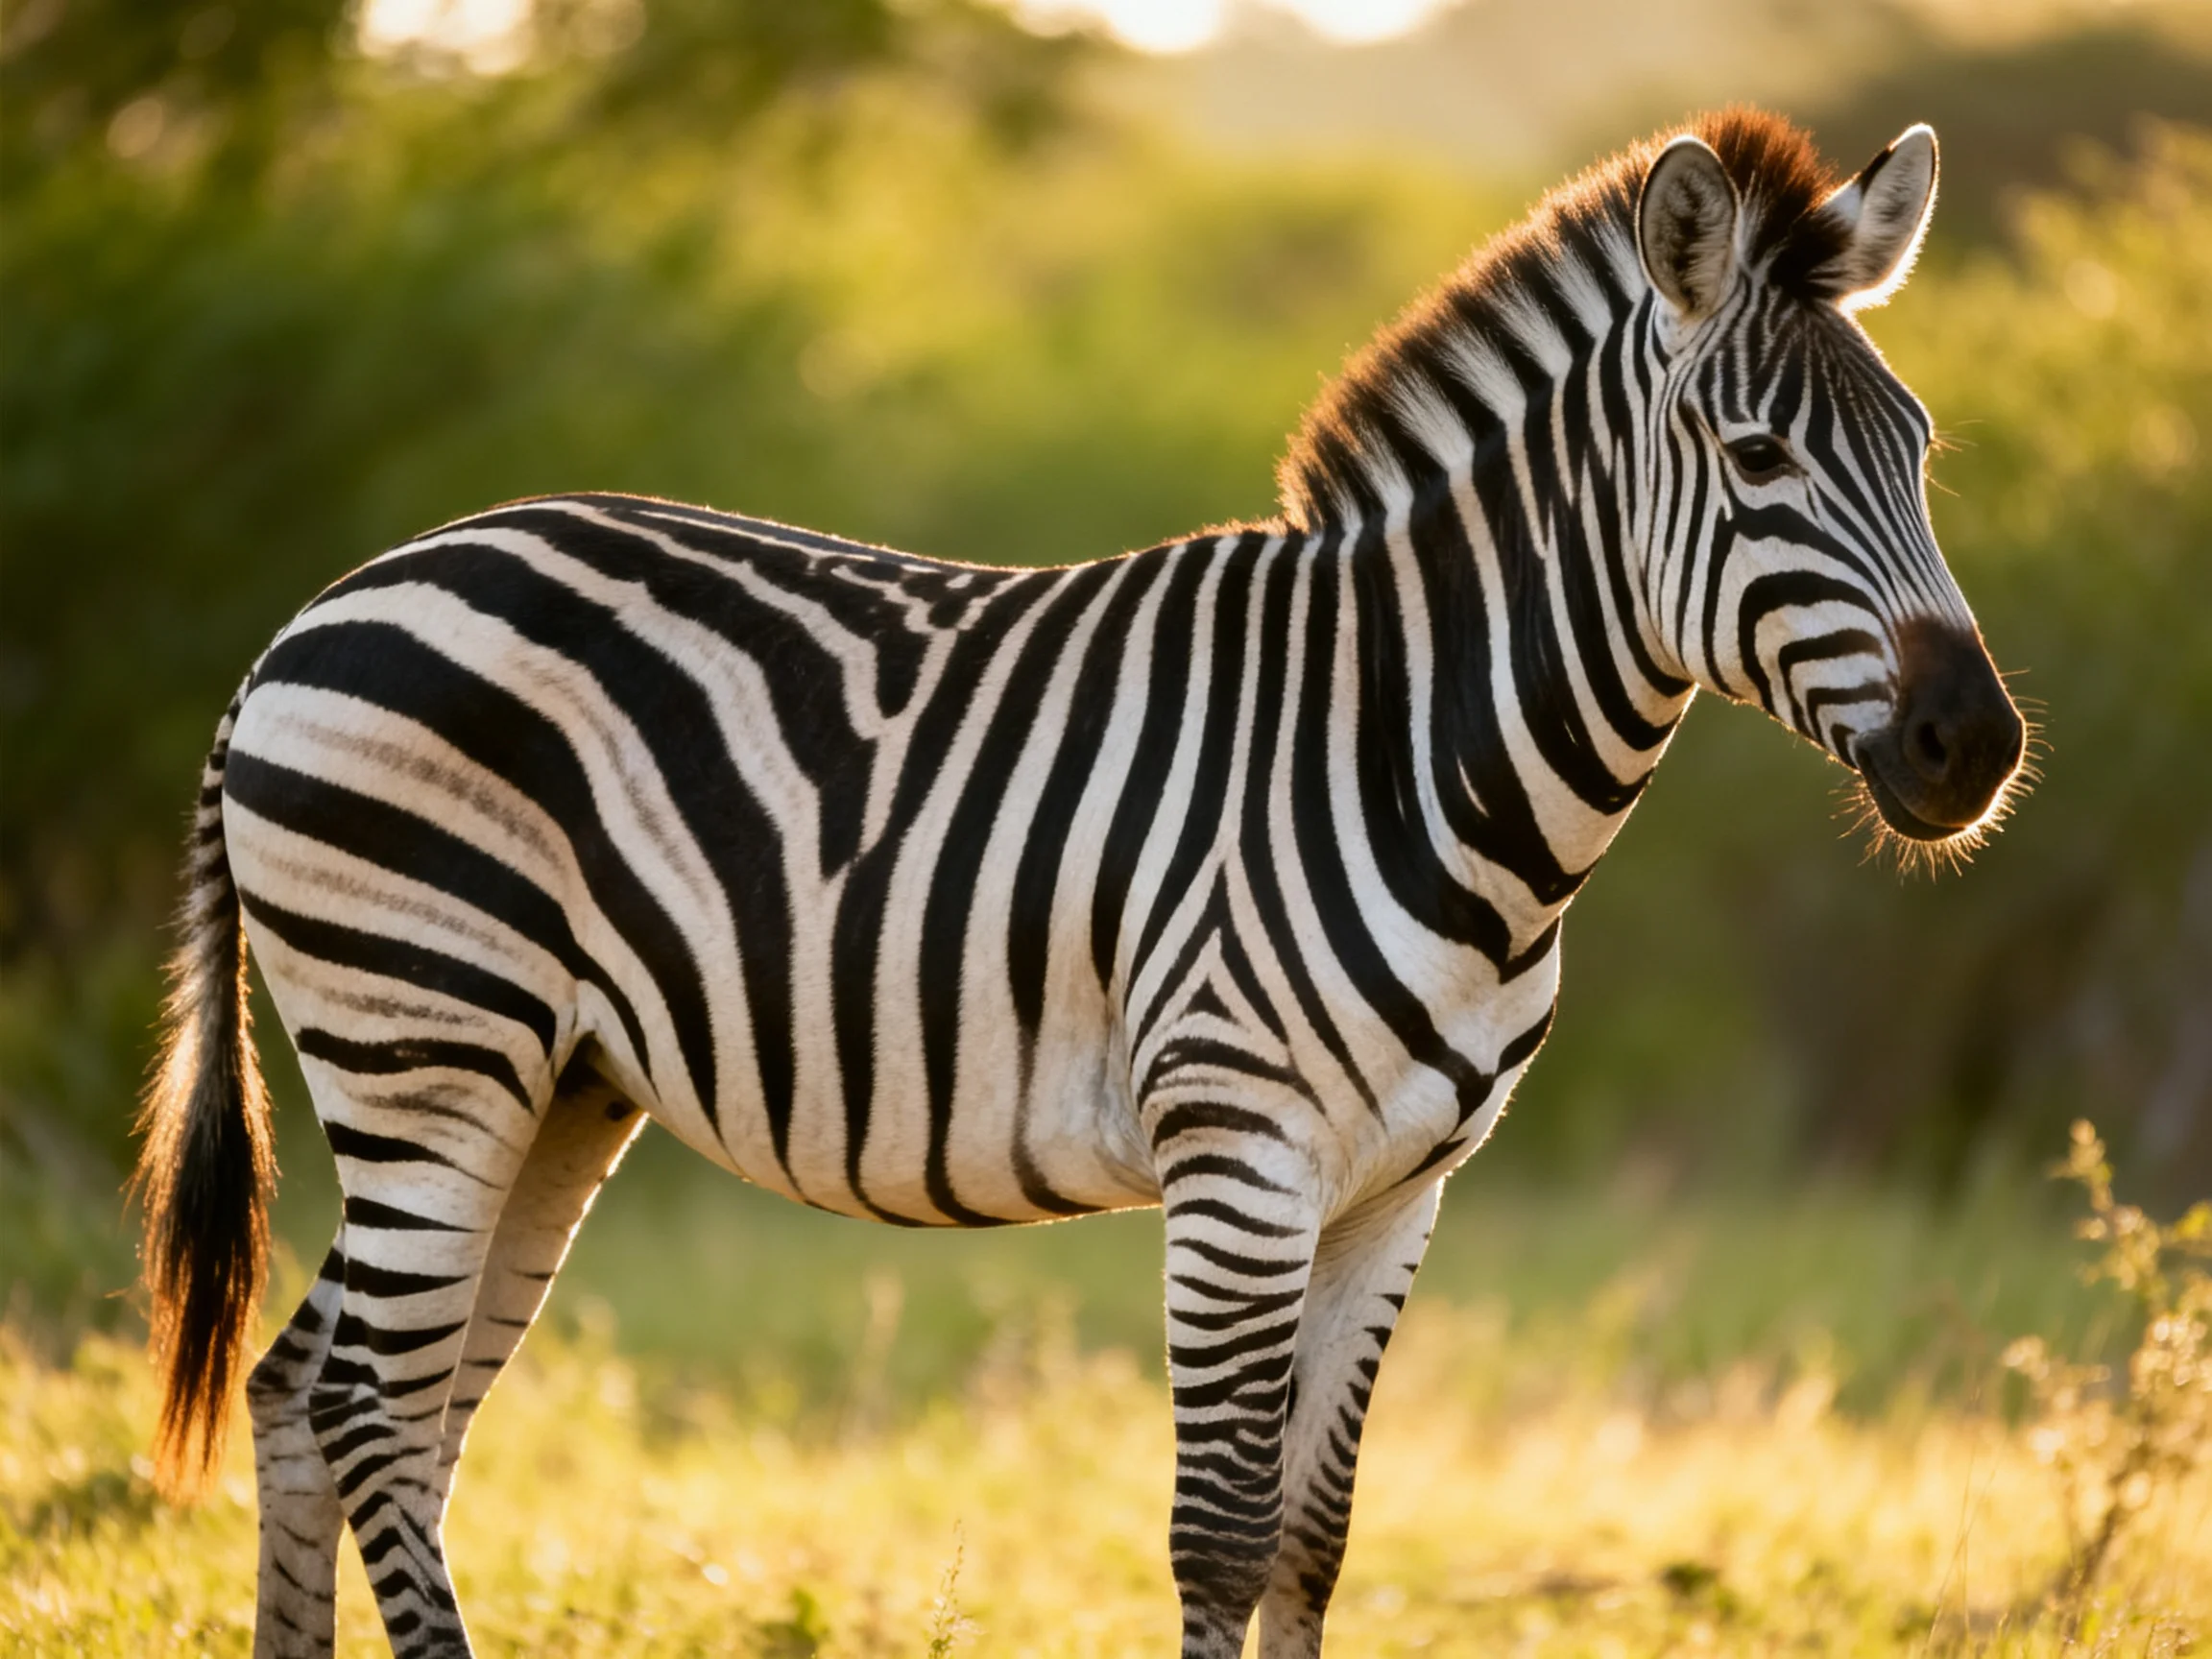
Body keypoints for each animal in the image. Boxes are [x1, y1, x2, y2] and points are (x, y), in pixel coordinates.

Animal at [134, 109, 2024, 1657]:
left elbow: (1312, 1539)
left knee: (320, 1394)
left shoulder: (1400, 1190)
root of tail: (310, 616)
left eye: (1924, 449)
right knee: (374, 1411)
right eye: (1757, 462)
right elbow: (1215, 1536)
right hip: (427, 1041)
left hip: (551, 1082)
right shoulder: (1239, 1155)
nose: (1972, 745)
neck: (1418, 754)